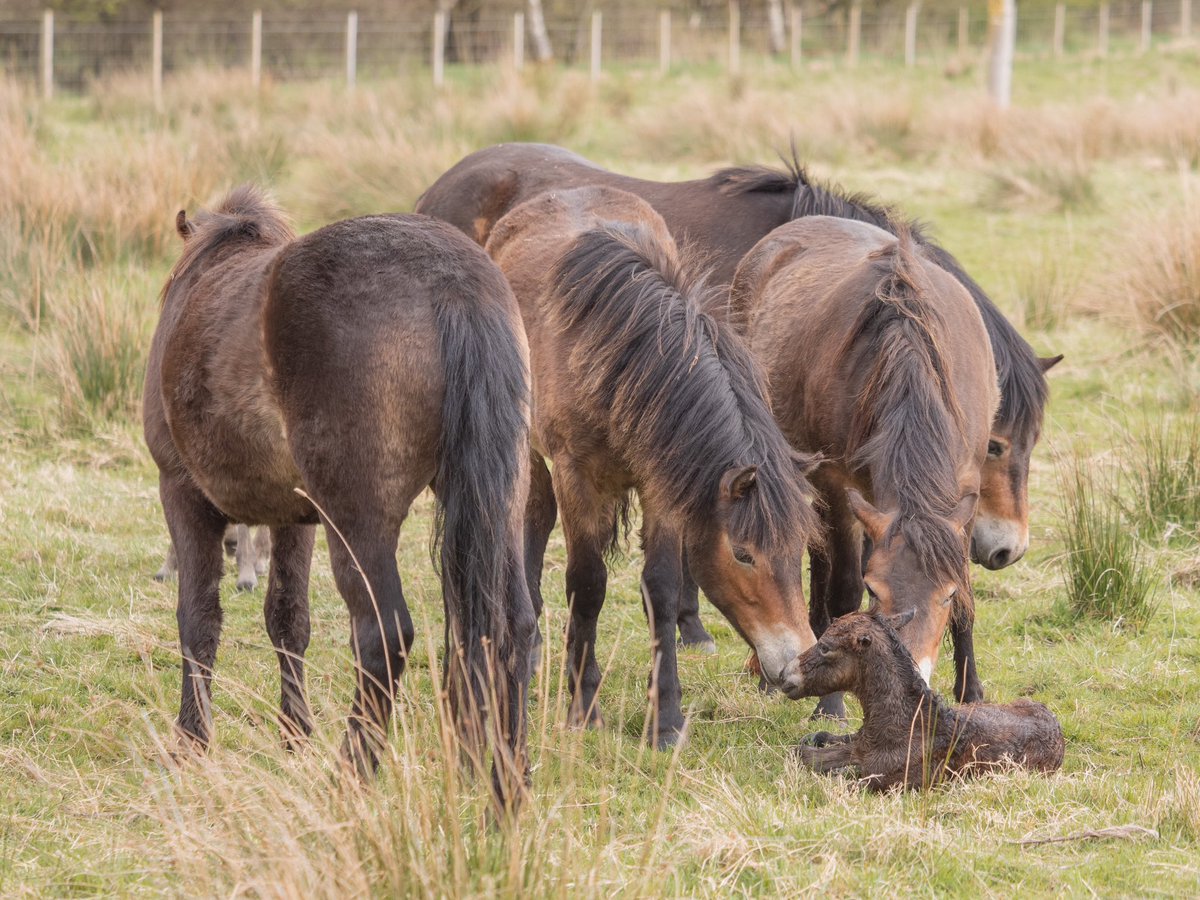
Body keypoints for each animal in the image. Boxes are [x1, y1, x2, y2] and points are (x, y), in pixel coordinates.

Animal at [142, 187, 532, 806]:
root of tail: (453, 283)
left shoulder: (182, 494)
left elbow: (198, 618)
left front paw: (191, 740)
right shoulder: (293, 517)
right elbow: (288, 619)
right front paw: (294, 733)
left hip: (358, 524)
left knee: (383, 637)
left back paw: (349, 776)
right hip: (500, 509)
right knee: (510, 628)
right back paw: (506, 785)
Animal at [482, 187, 820, 748]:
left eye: (798, 551)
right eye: (744, 555)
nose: (795, 668)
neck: (617, 352)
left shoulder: (663, 486)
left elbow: (660, 589)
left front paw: (666, 719)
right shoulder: (577, 477)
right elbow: (587, 585)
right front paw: (584, 708)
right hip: (529, 447)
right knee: (533, 516)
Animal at [724, 218, 998, 720]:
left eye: (946, 596)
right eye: (876, 592)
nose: (917, 676)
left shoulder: (964, 489)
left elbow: (967, 596)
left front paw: (971, 690)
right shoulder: (836, 487)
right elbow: (842, 591)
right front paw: (830, 703)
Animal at [782, 609, 1065, 792]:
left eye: (825, 647)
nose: (784, 675)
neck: (903, 724)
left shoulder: (889, 782)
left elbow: (834, 778)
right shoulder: (858, 747)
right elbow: (805, 752)